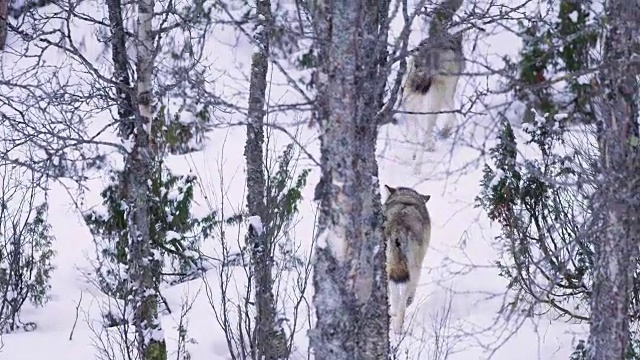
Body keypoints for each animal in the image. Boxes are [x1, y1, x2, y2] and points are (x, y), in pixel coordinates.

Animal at [382, 184, 432, 336]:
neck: (406, 198)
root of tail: (398, 226)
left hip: (389, 267)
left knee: (395, 296)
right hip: (412, 268)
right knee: (402, 300)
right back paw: (398, 328)